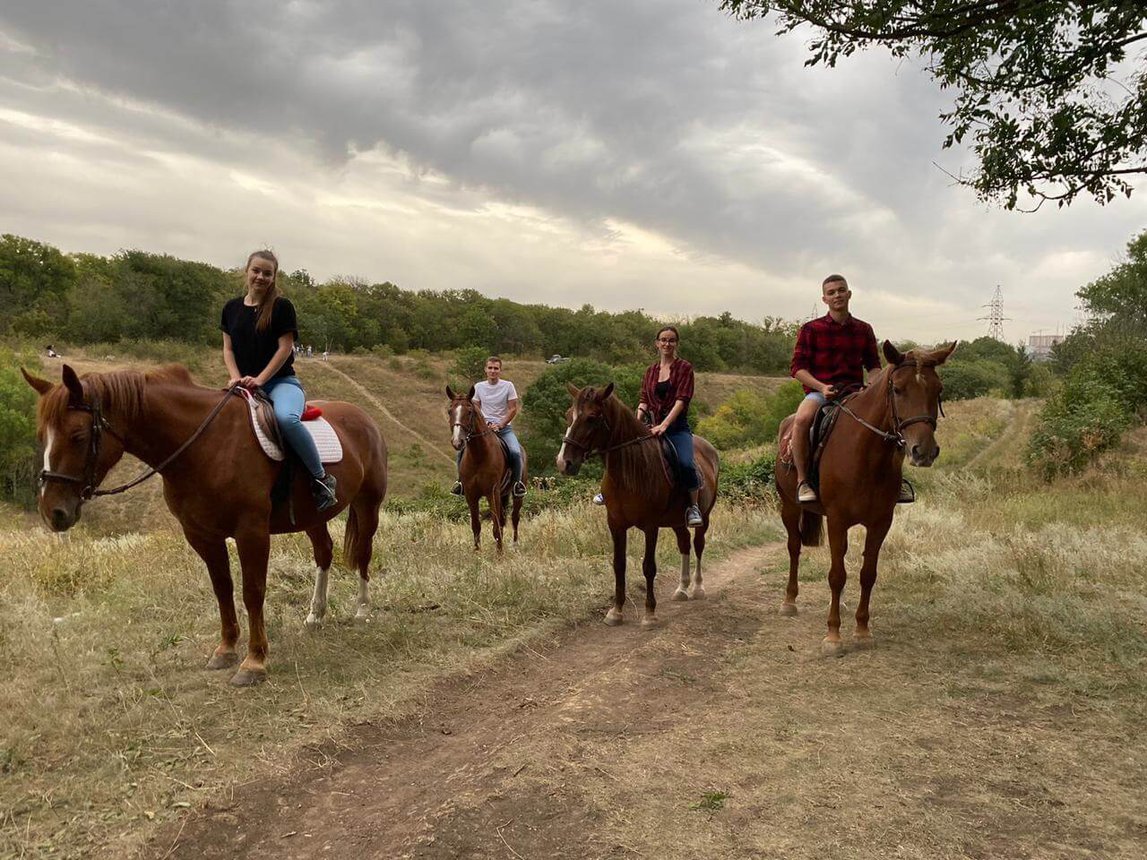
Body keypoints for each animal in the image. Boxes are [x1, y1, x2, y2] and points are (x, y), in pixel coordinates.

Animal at [21, 364, 389, 688]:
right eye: (41, 436)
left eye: (77, 435)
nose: (52, 511)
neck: (205, 445)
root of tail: (363, 417)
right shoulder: (202, 535)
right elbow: (222, 589)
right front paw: (225, 650)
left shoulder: (251, 532)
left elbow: (252, 592)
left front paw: (254, 662)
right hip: (313, 517)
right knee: (324, 554)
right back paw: (316, 615)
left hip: (367, 505)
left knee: (364, 554)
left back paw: (362, 610)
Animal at [445, 385, 525, 552]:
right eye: (450, 411)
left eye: (469, 412)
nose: (457, 442)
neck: (479, 455)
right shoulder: (471, 495)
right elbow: (476, 526)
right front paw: (477, 552)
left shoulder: (491, 492)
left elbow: (495, 527)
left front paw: (499, 553)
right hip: (502, 494)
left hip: (516, 495)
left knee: (515, 518)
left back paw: (514, 546)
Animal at [552, 387, 715, 628]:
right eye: (568, 415)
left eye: (591, 418)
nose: (564, 463)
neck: (631, 470)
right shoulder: (615, 524)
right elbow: (619, 565)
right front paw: (616, 611)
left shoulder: (651, 526)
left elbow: (649, 566)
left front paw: (649, 613)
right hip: (676, 521)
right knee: (684, 543)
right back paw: (682, 588)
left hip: (704, 516)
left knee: (698, 544)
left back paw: (697, 587)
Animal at [775, 344, 954, 651]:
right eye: (898, 389)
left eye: (938, 388)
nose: (924, 451)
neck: (866, 454)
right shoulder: (837, 520)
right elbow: (837, 576)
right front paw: (833, 635)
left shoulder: (881, 522)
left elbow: (867, 574)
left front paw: (861, 630)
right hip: (789, 506)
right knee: (794, 548)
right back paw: (789, 601)